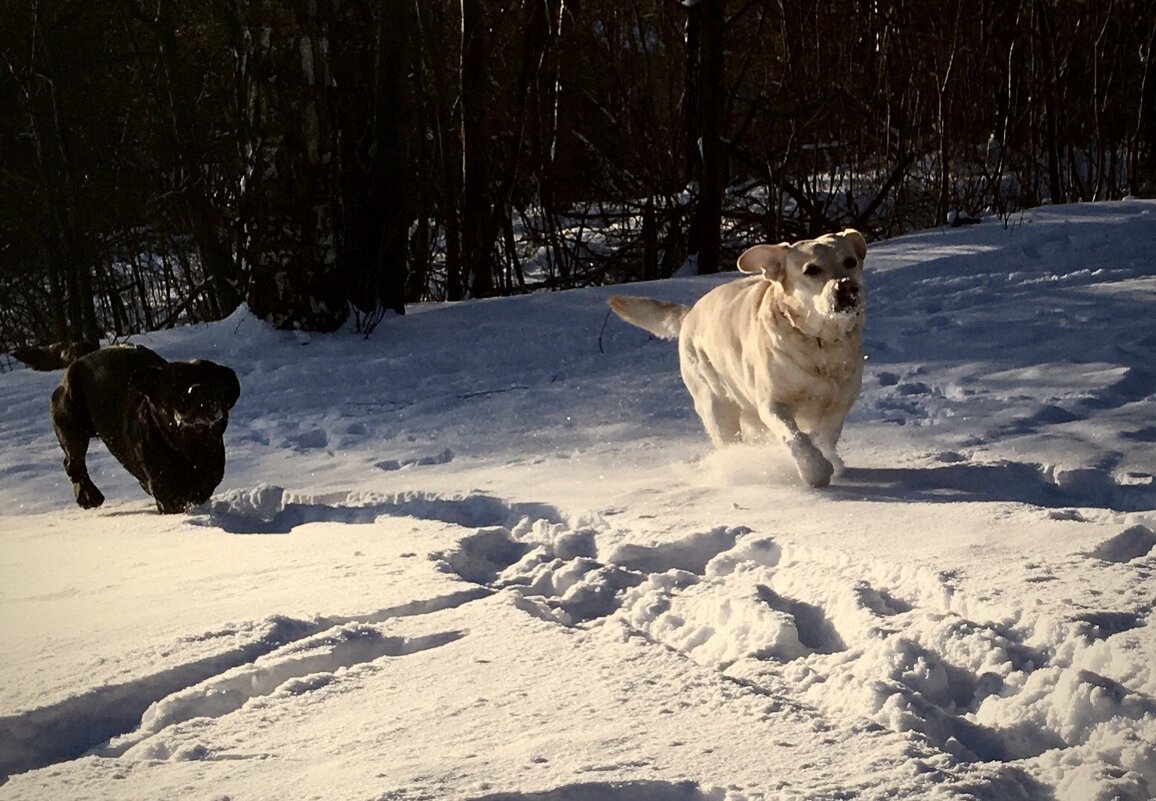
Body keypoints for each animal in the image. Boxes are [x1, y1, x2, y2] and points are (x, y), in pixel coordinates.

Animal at [50, 344, 240, 513]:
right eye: (176, 385)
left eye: (215, 383)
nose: (199, 388)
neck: (192, 446)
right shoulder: (164, 487)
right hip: (73, 426)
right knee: (73, 462)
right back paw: (89, 496)